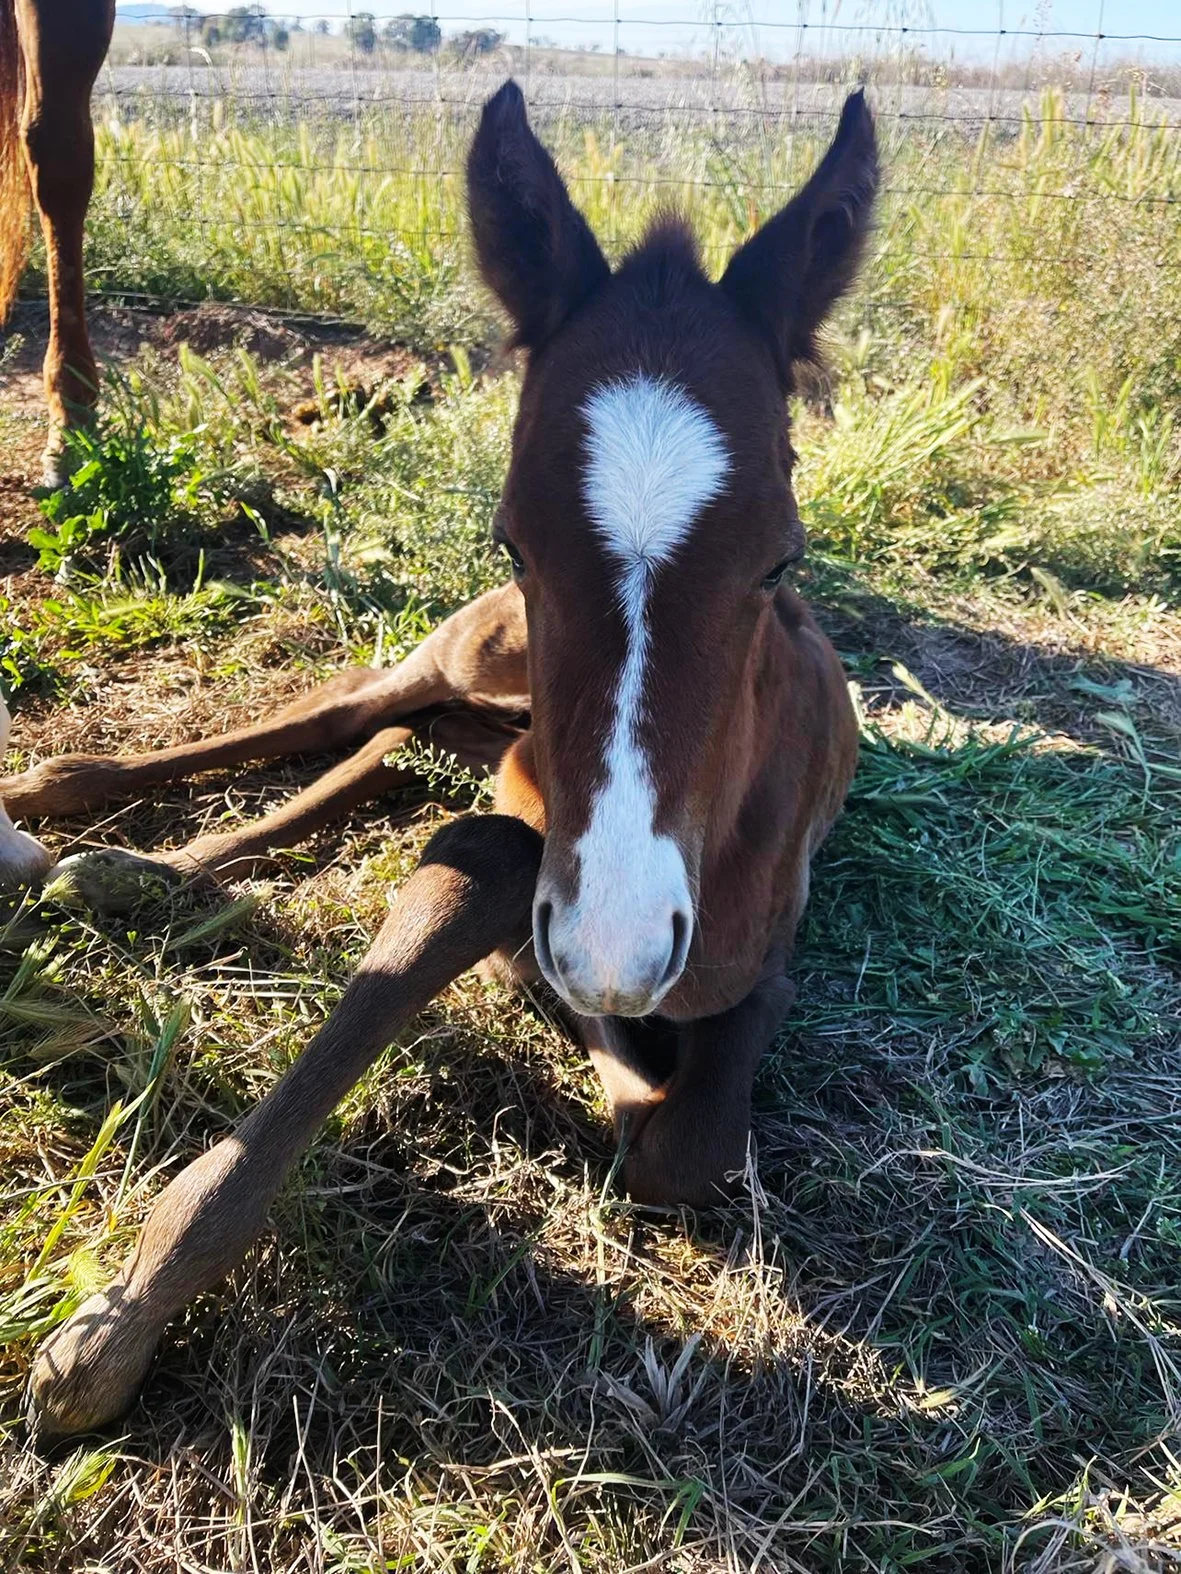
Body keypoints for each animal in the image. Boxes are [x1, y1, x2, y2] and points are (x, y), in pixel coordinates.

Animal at [20, 80, 877, 1437]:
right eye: (511, 535)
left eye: (780, 557)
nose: (609, 947)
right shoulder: (529, 829)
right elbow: (469, 882)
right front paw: (115, 1324)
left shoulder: (756, 962)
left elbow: (681, 1150)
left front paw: (608, 1044)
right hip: (476, 656)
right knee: (351, 708)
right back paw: (76, 819)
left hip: (486, 711)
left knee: (383, 744)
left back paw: (143, 876)